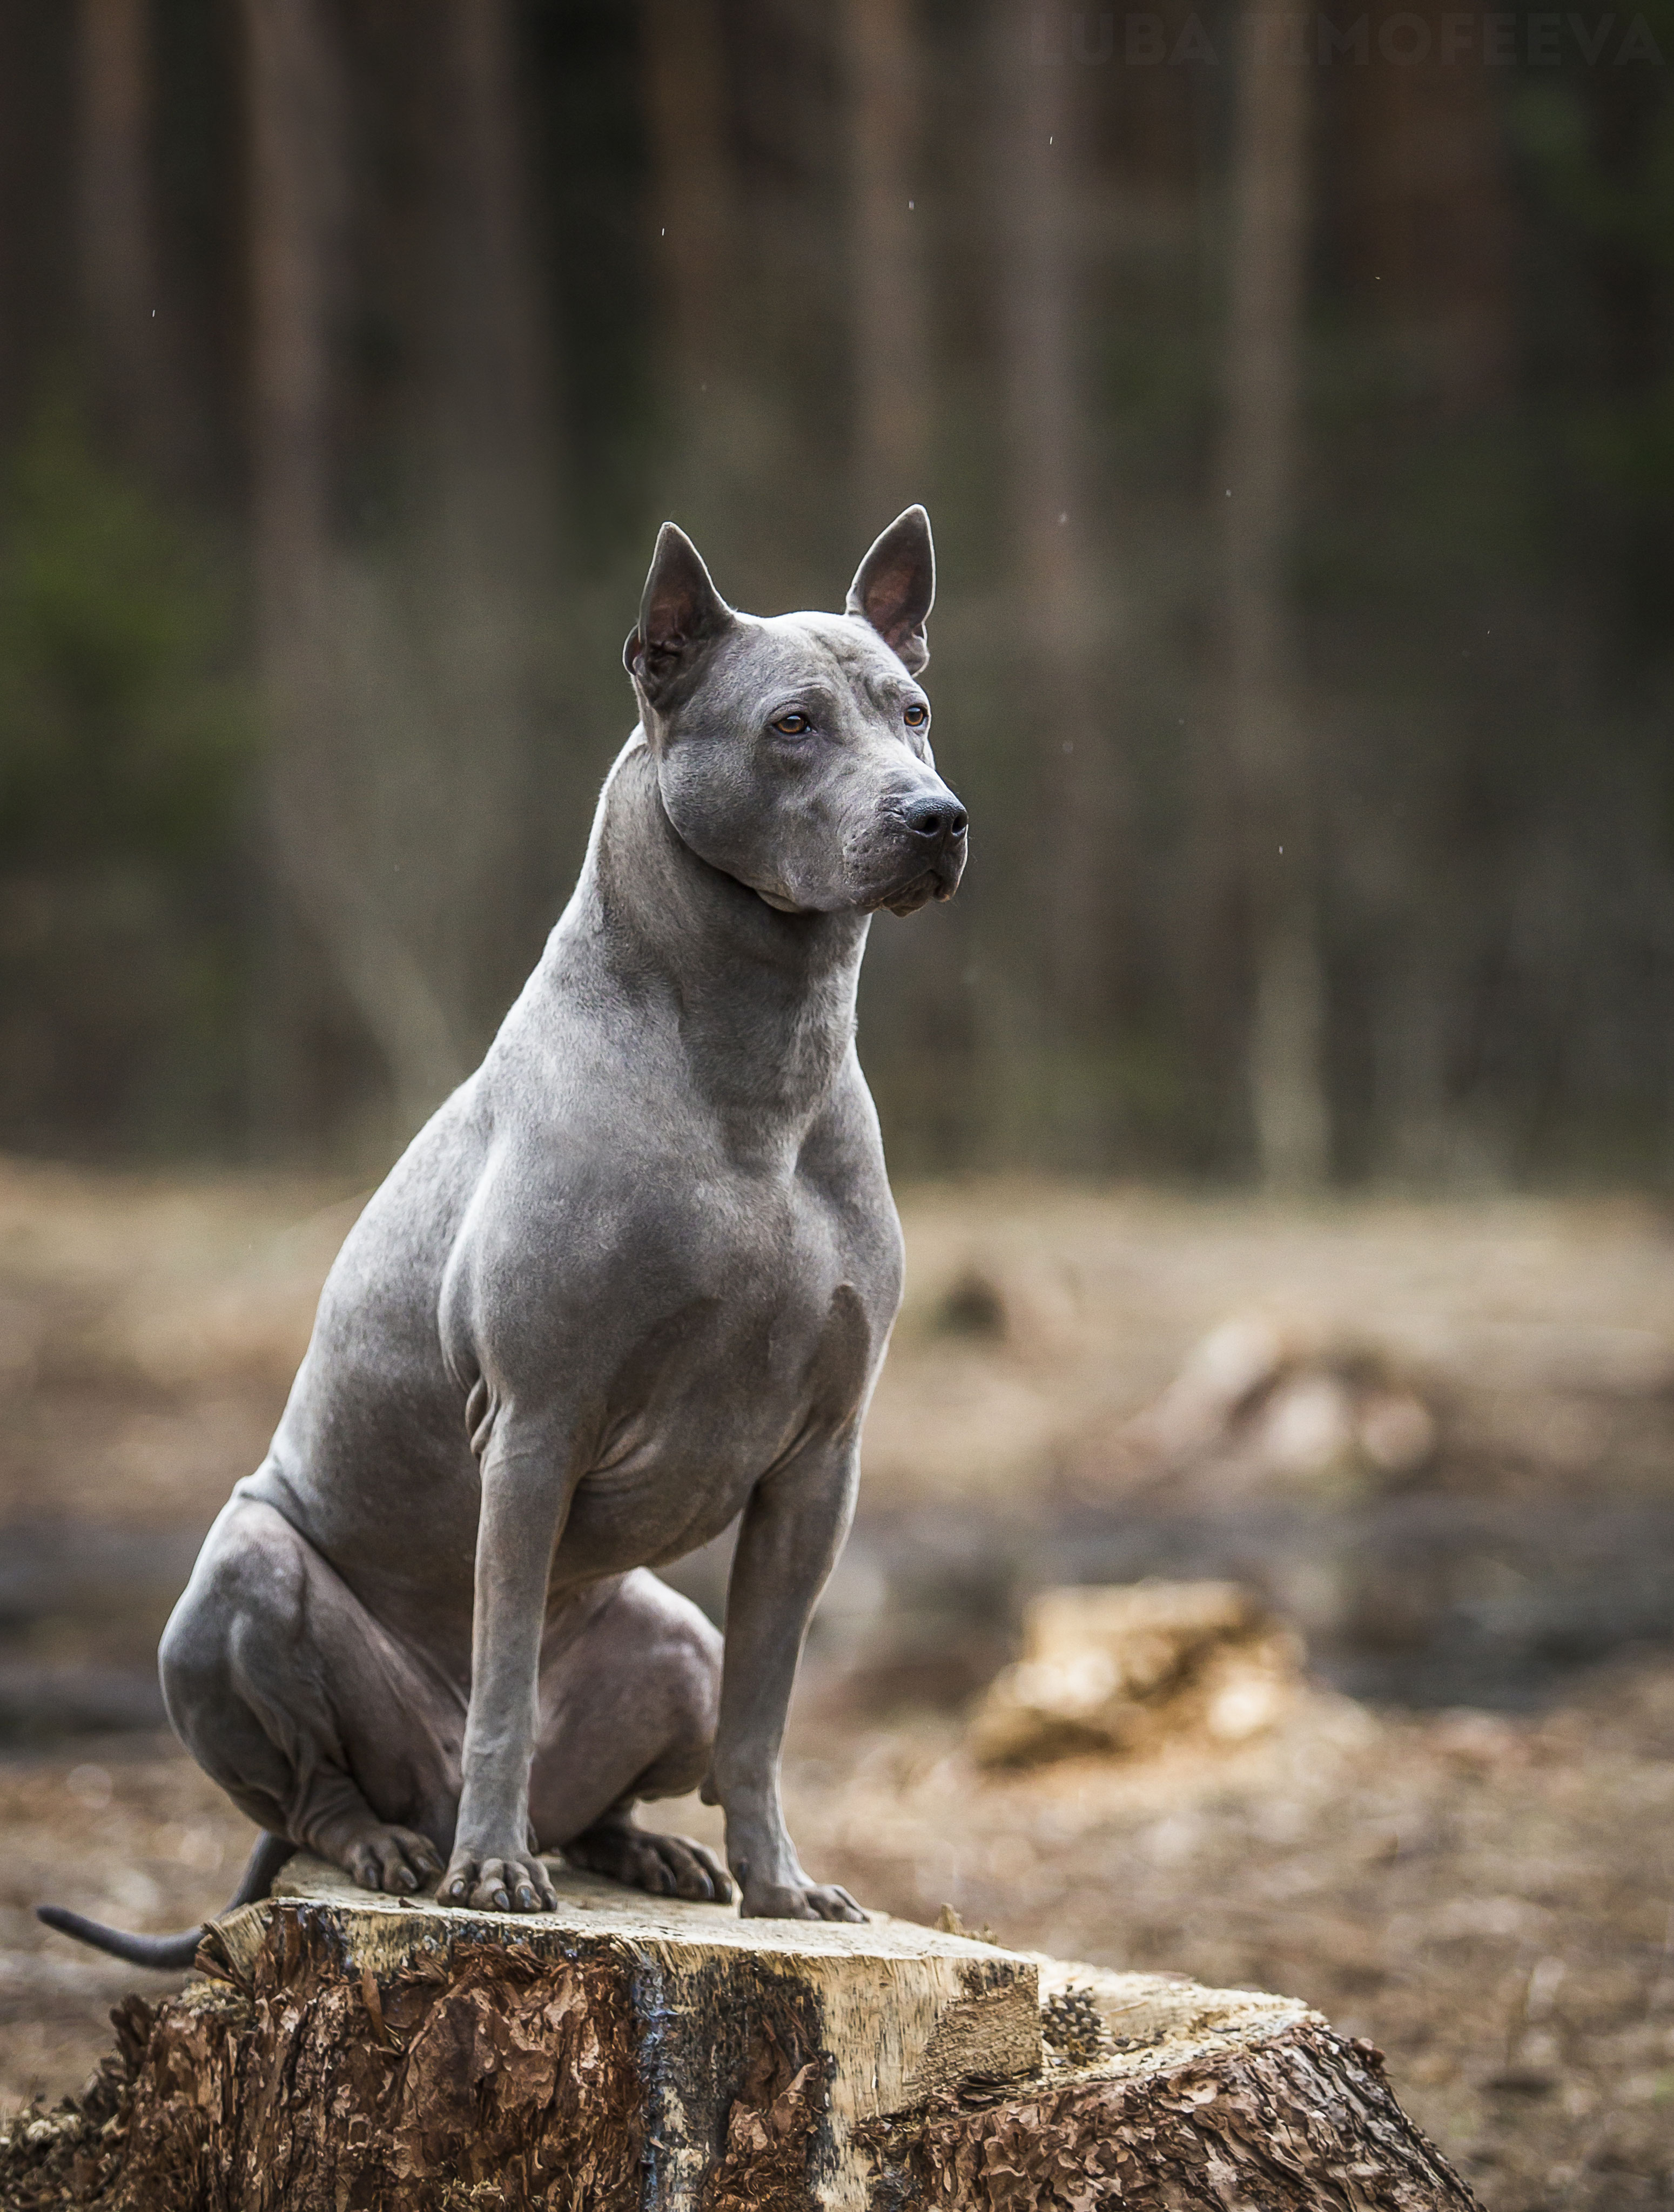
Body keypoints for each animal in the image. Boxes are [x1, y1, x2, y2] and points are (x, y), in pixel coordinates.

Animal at [42, 509, 969, 1964]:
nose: (934, 816)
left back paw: (643, 1849)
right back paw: (405, 1846)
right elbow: (502, 1676)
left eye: (912, 712)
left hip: (673, 1636)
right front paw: (490, 1873)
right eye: (793, 726)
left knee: (612, 1782)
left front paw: (779, 1884)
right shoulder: (535, 1426)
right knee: (318, 1787)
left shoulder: (820, 1464)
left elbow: (763, 1719)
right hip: (240, 1580)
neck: (758, 1064)